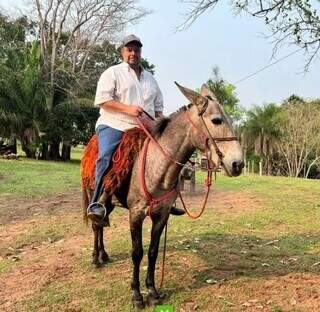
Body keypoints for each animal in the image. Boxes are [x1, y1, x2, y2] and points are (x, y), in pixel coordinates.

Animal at [81, 83, 244, 310]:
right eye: (216, 120)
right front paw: (136, 295)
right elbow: (137, 252)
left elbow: (153, 251)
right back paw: (96, 258)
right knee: (96, 225)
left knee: (101, 225)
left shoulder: (162, 215)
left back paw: (104, 255)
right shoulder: (136, 214)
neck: (156, 166)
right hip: (93, 195)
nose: (238, 164)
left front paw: (152, 291)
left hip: (111, 204)